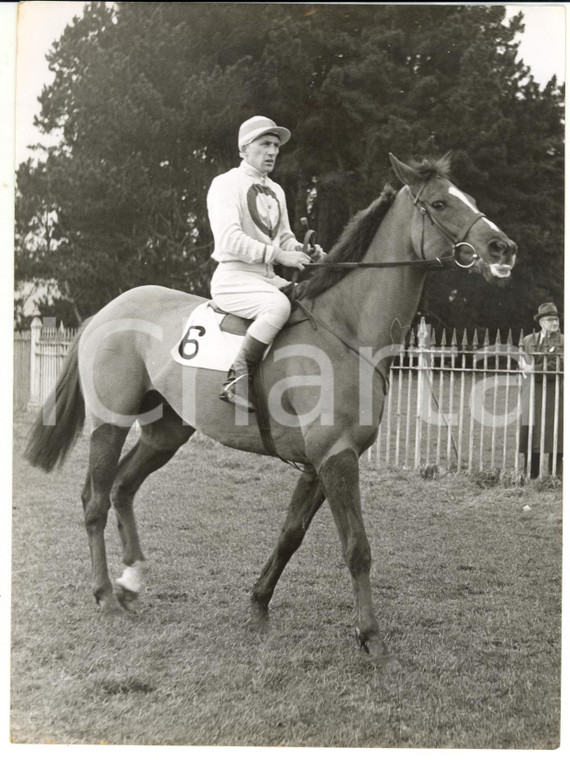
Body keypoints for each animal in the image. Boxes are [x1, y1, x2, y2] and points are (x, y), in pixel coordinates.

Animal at [25, 153, 516, 660]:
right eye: (440, 203)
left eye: (468, 198)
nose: (503, 248)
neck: (346, 328)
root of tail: (106, 310)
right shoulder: (336, 458)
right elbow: (356, 548)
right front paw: (371, 637)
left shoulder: (320, 464)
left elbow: (290, 534)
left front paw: (259, 605)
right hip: (110, 423)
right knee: (95, 500)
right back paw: (105, 594)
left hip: (166, 432)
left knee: (123, 488)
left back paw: (132, 580)